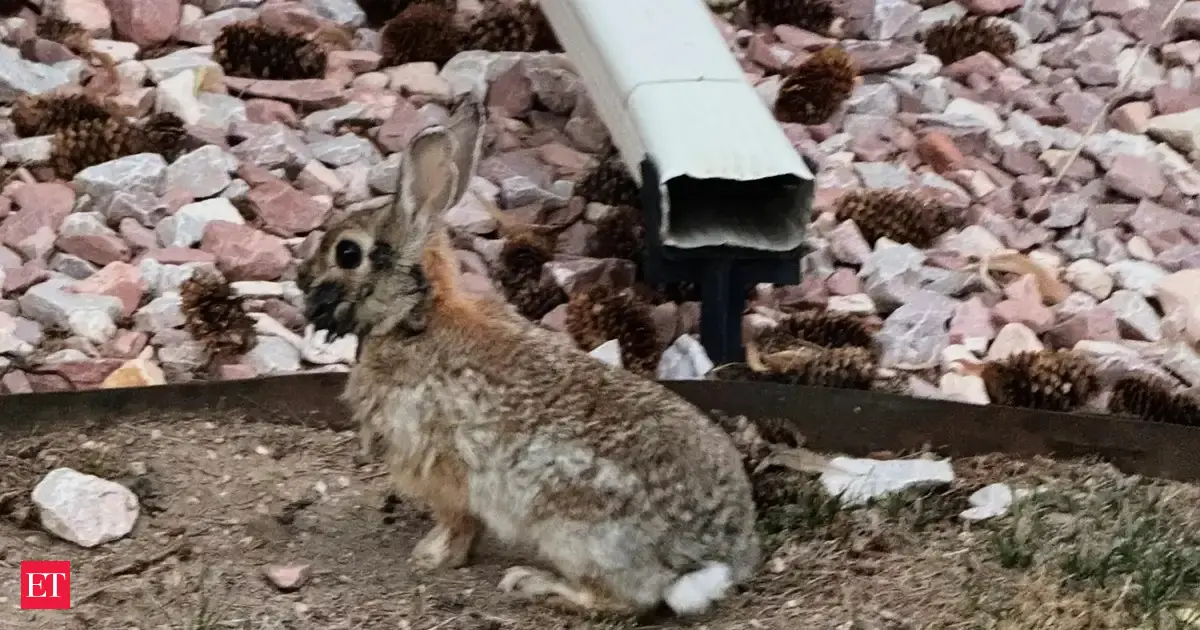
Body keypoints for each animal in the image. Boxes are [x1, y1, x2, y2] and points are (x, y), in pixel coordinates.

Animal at [296, 97, 761, 618]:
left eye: (347, 253)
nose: (300, 275)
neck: (416, 316)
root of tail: (708, 561)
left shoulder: (442, 468)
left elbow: (457, 522)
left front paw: (431, 557)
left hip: (569, 528)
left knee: (619, 600)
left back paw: (533, 583)